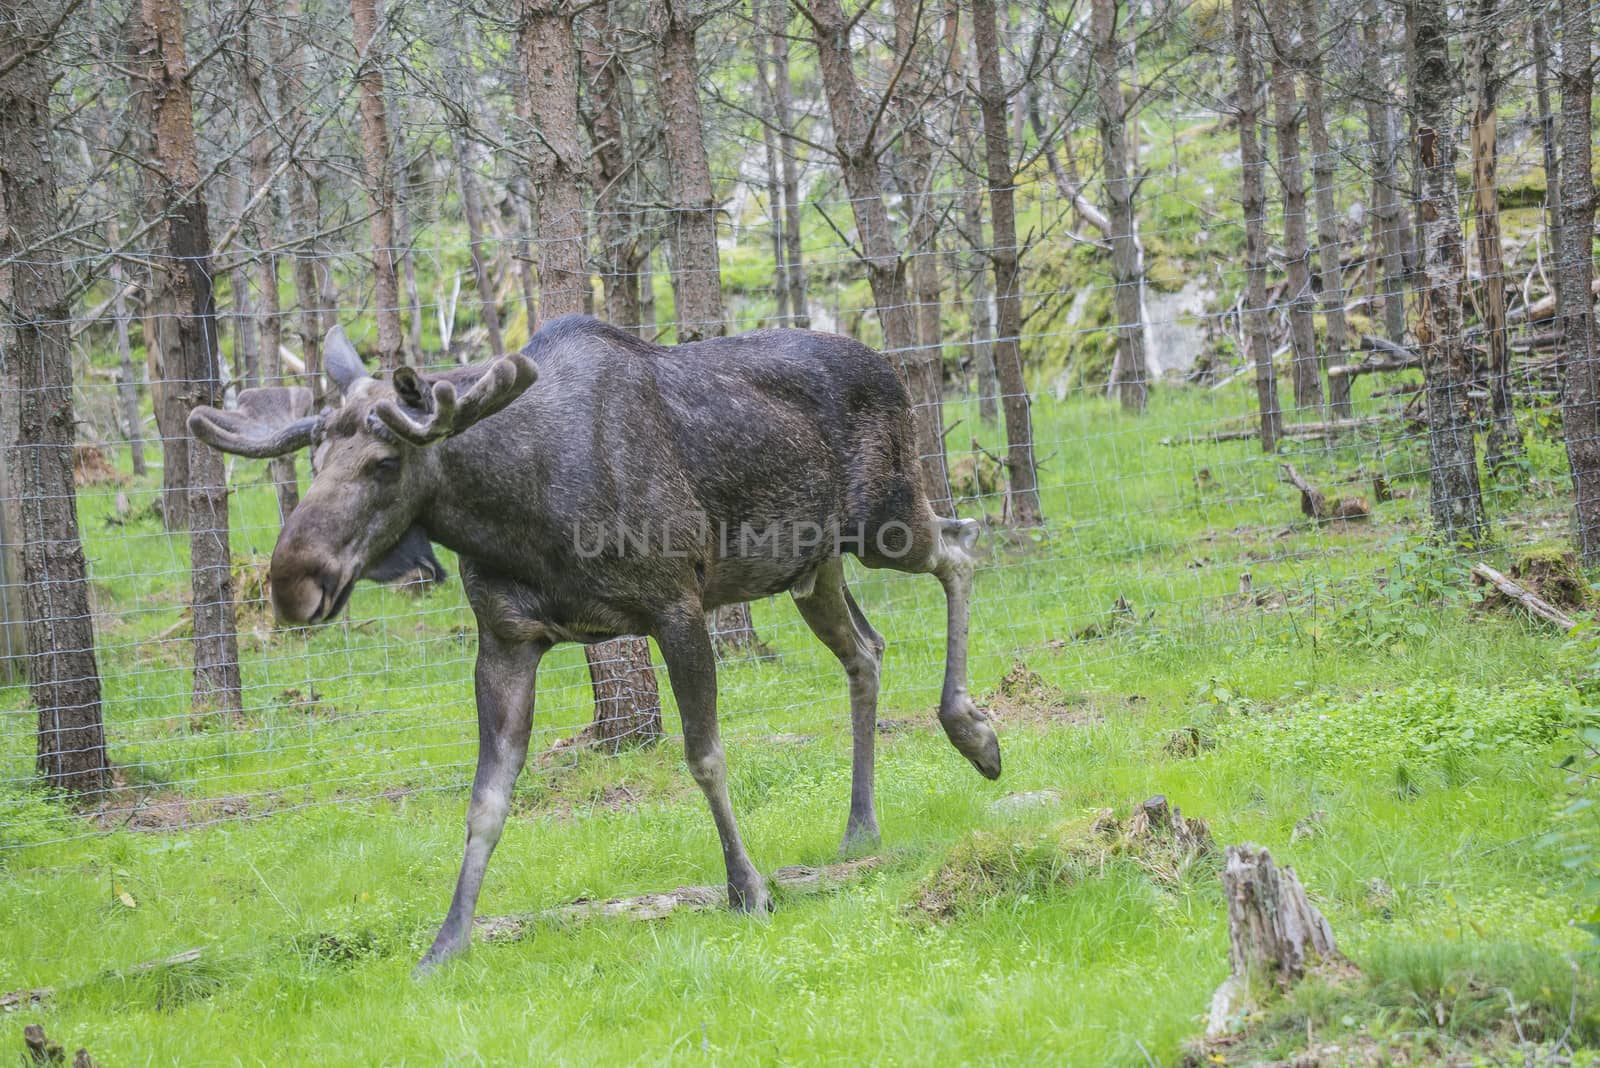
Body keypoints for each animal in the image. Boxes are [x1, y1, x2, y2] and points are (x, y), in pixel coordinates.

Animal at [190, 313, 998, 972]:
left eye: (386, 463)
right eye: (315, 458)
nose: (292, 583)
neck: (518, 517)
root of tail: (892, 369)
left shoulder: (676, 604)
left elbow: (705, 757)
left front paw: (748, 888)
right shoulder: (507, 640)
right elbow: (486, 801)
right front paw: (445, 944)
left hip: (886, 518)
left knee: (961, 546)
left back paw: (973, 733)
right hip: (811, 566)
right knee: (867, 648)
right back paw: (861, 824)